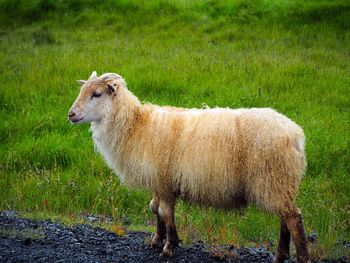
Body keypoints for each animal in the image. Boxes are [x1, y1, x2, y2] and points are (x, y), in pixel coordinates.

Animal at [67, 71, 308, 262]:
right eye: (83, 90)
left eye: (97, 94)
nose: (71, 114)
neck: (136, 125)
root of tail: (295, 133)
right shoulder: (158, 180)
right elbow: (155, 209)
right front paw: (157, 240)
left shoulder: (164, 181)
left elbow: (166, 213)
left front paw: (169, 247)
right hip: (280, 183)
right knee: (285, 217)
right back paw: (280, 256)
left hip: (273, 179)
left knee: (294, 218)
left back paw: (301, 256)